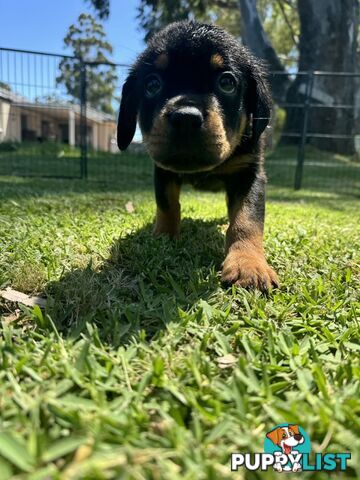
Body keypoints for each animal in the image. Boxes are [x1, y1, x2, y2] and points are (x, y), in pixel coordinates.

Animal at [118, 20, 278, 290]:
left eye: (227, 83)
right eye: (152, 85)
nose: (185, 118)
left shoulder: (250, 174)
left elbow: (247, 219)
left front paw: (248, 263)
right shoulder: (163, 171)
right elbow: (167, 205)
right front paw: (163, 237)